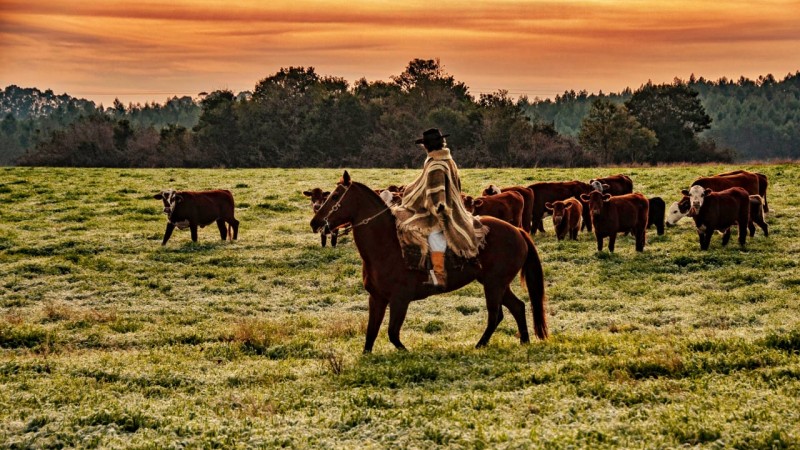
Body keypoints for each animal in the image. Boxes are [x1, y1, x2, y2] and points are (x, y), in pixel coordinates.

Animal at [310, 171, 548, 354]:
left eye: (336, 196)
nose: (315, 222)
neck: (387, 246)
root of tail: (517, 231)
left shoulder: (400, 300)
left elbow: (393, 334)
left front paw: (407, 353)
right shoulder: (376, 299)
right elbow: (371, 334)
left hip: (494, 284)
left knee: (495, 315)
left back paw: (480, 345)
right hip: (497, 284)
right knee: (517, 307)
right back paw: (524, 341)